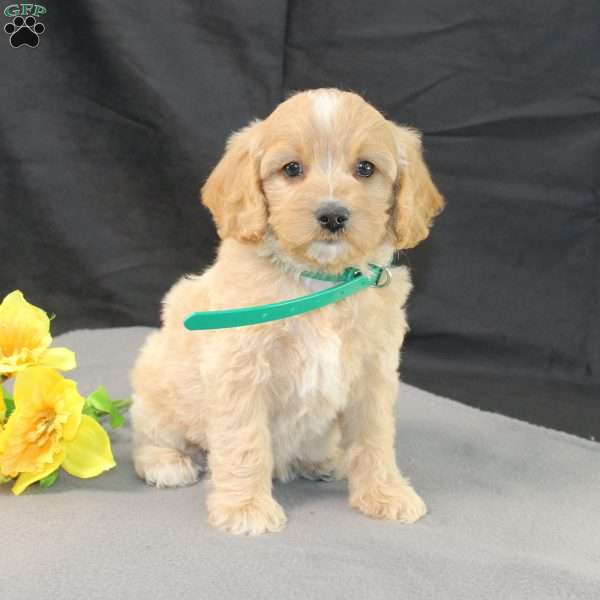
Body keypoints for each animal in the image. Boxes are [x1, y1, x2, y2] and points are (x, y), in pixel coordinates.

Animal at [130, 88, 440, 536]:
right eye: (292, 169)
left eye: (365, 168)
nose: (332, 215)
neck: (319, 283)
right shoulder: (238, 369)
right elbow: (245, 440)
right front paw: (245, 507)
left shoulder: (373, 373)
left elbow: (375, 438)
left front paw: (386, 494)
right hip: (158, 381)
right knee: (151, 431)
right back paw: (167, 462)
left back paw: (321, 460)